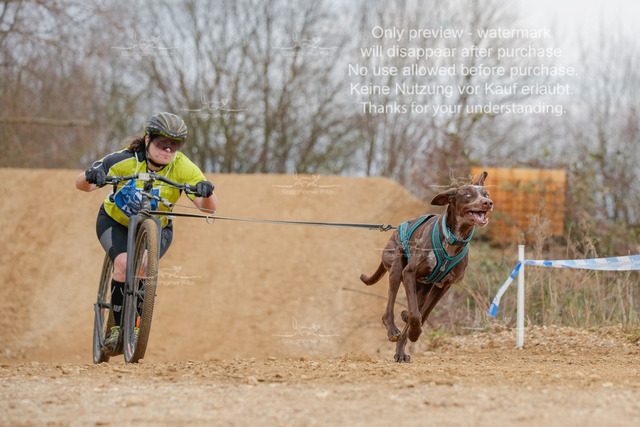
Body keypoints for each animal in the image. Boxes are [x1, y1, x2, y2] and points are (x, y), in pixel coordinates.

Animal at [360, 171, 493, 362]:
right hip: (396, 269)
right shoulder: (409, 273)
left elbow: (423, 314)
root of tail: (395, 229)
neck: (453, 238)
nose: (488, 203)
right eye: (468, 194)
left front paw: (412, 328)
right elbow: (416, 315)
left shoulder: (443, 286)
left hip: (422, 289)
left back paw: (401, 351)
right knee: (390, 308)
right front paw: (413, 329)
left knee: (414, 311)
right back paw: (393, 329)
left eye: (486, 194)